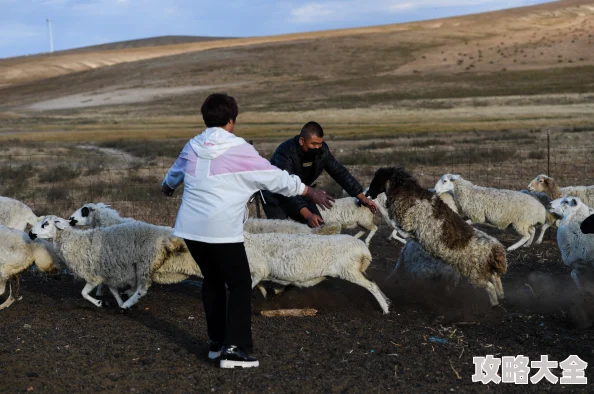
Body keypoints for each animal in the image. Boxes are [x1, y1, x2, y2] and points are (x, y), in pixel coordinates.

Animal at [27, 217, 184, 310]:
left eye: (45, 224)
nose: (29, 233)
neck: (75, 242)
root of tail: (163, 234)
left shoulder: (94, 275)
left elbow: (83, 293)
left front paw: (100, 303)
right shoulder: (108, 273)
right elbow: (113, 290)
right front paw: (117, 301)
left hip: (145, 262)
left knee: (142, 288)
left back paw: (128, 302)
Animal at [243, 231, 390, 314]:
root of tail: (363, 249)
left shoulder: (257, 271)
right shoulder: (258, 273)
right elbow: (259, 285)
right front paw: (267, 293)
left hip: (350, 270)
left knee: (371, 285)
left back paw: (385, 309)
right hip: (355, 270)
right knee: (373, 282)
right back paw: (387, 301)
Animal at [366, 168, 504, 306]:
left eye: (377, 179)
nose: (367, 193)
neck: (407, 192)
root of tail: (495, 250)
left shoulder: (407, 222)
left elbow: (396, 226)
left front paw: (404, 236)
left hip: (475, 273)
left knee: (490, 286)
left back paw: (495, 303)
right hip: (483, 270)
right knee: (496, 278)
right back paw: (501, 295)